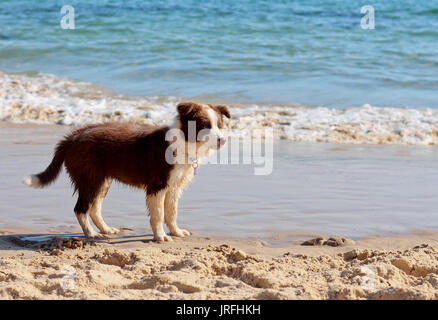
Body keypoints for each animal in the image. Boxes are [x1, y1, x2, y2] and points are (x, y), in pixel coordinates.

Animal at [23, 101, 231, 241]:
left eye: (220, 125)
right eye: (204, 126)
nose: (222, 140)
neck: (184, 142)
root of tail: (71, 138)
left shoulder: (174, 187)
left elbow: (172, 212)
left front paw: (177, 232)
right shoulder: (157, 186)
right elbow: (158, 214)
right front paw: (161, 237)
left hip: (102, 179)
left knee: (94, 208)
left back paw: (106, 230)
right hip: (90, 178)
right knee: (81, 209)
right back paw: (91, 234)